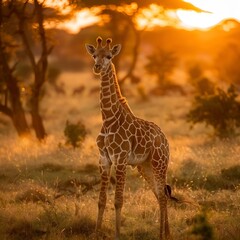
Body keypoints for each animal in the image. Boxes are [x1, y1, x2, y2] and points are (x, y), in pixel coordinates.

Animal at [85, 36, 173, 239]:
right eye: (94, 55)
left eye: (109, 56)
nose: (97, 67)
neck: (108, 118)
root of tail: (165, 138)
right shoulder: (104, 158)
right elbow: (101, 200)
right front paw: (96, 233)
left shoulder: (120, 158)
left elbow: (118, 200)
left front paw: (117, 234)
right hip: (144, 166)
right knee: (160, 194)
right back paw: (166, 234)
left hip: (159, 163)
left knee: (163, 195)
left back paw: (161, 235)